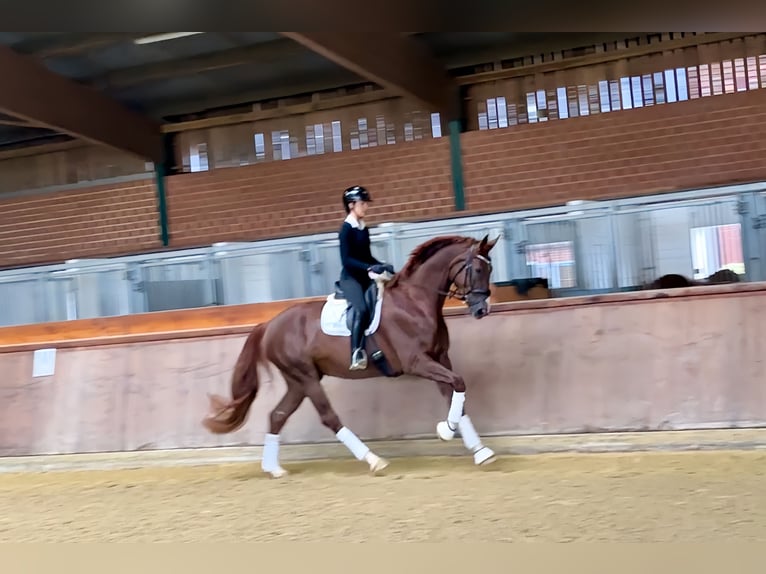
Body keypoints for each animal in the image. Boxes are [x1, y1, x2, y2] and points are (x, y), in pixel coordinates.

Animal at [204, 233, 500, 476]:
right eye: (476, 269)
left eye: (490, 268)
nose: (481, 310)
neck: (415, 302)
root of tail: (270, 325)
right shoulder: (418, 362)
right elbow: (458, 383)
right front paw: (446, 431)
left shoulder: (439, 359)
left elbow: (456, 395)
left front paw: (479, 450)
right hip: (306, 376)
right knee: (329, 418)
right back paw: (373, 460)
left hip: (298, 381)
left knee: (277, 415)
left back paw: (274, 469)